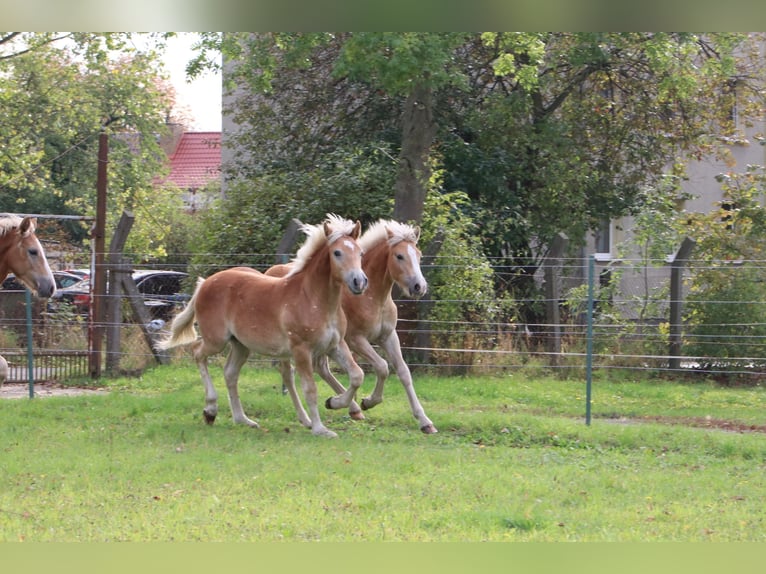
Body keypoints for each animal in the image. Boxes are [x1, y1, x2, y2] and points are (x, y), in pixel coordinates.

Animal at [158, 215, 368, 436]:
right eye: (337, 252)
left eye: (360, 252)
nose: (359, 282)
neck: (313, 299)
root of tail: (204, 283)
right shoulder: (301, 350)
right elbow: (310, 389)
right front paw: (320, 429)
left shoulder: (336, 345)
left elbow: (357, 375)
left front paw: (335, 403)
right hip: (216, 340)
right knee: (198, 353)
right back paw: (210, 410)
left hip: (241, 345)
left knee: (230, 373)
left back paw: (243, 420)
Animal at [268, 222, 438, 436]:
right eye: (399, 256)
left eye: (419, 254)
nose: (419, 286)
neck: (372, 297)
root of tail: (270, 272)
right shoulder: (356, 339)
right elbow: (382, 366)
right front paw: (369, 402)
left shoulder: (388, 336)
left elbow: (403, 372)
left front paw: (425, 422)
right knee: (289, 374)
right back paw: (325, 412)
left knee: (321, 368)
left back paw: (350, 408)